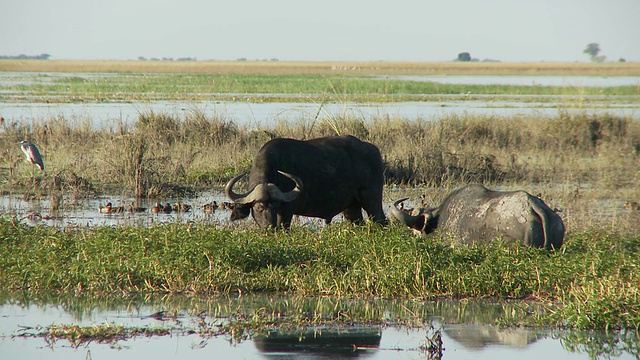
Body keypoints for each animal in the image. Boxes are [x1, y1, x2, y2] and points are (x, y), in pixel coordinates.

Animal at [225, 135, 384, 228]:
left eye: (276, 205)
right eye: (258, 207)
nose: (271, 226)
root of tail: (373, 150)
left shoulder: (287, 211)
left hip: (372, 201)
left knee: (381, 220)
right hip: (351, 207)